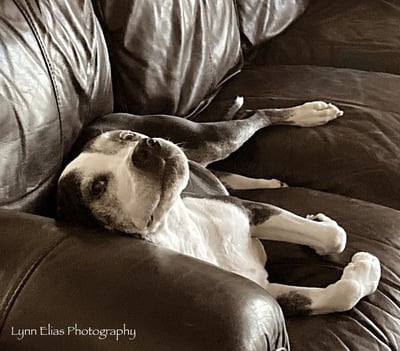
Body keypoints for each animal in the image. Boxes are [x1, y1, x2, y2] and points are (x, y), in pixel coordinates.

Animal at [57, 99, 382, 316]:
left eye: (126, 138)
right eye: (97, 187)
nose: (145, 148)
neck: (173, 226)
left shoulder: (250, 211)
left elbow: (333, 236)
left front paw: (326, 229)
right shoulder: (265, 292)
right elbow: (342, 292)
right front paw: (365, 269)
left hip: (209, 138)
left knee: (256, 117)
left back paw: (309, 114)